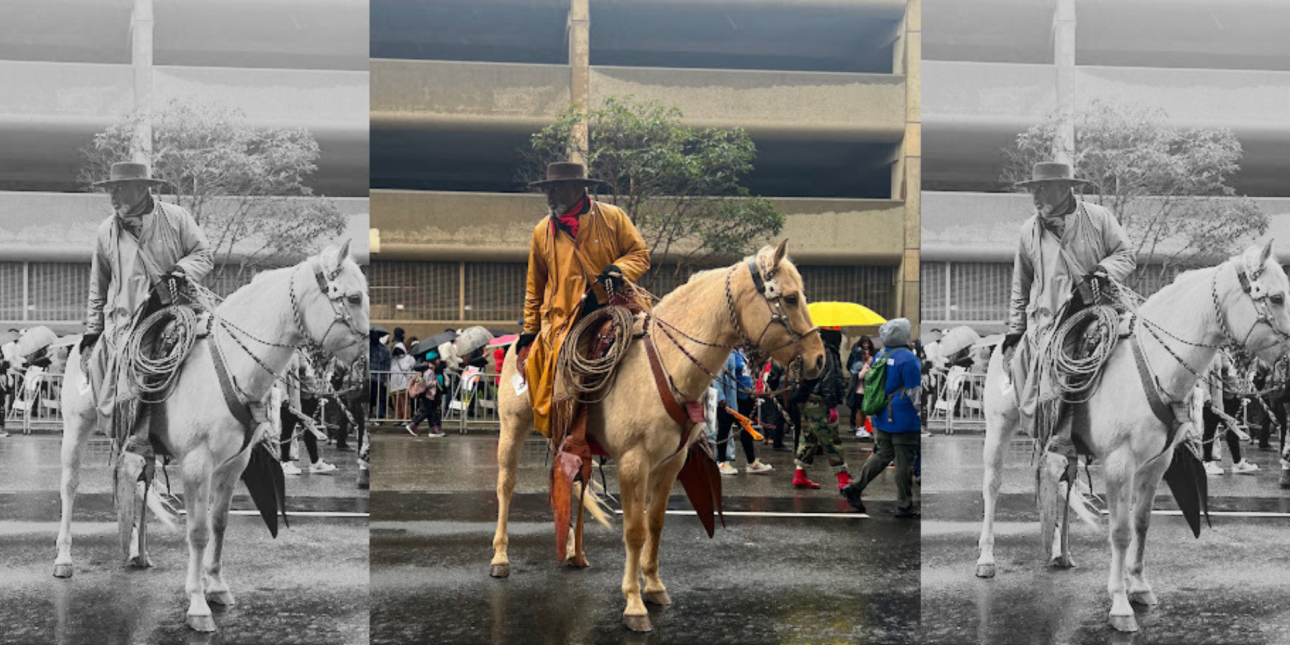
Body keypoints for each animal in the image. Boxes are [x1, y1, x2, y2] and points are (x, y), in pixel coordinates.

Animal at [54, 241, 368, 629]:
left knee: (138, 483)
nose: (364, 366)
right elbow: (198, 530)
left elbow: (218, 524)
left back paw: (138, 552)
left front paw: (217, 586)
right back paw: (64, 557)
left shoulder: (234, 464)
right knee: (69, 487)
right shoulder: (196, 463)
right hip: (76, 427)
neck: (233, 365)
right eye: (353, 297)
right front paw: (197, 603)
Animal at [487, 241, 820, 629]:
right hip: (513, 426)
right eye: (791, 298)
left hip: (567, 437)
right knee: (506, 486)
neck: (667, 365)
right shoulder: (634, 462)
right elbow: (635, 530)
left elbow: (655, 524)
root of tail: (520, 341)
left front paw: (655, 586)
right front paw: (634, 602)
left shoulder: (671, 463)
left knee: (571, 484)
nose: (819, 360)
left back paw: (573, 551)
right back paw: (500, 557)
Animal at [975, 241, 1290, 629]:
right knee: (992, 486)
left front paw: (1139, 585)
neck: (1155, 365)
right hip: (998, 428)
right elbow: (1121, 531)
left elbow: (1141, 525)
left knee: (1060, 483)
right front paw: (1120, 603)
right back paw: (986, 557)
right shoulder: (1119, 464)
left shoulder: (1156, 464)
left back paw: (1060, 551)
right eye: (1276, 297)